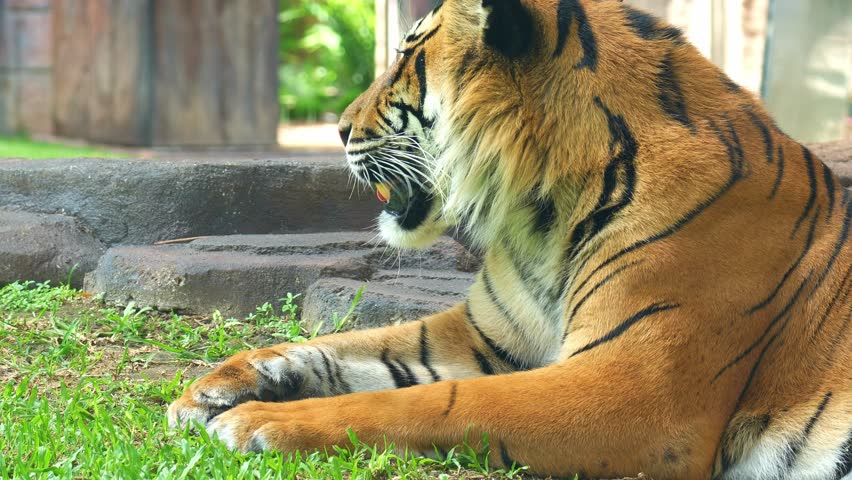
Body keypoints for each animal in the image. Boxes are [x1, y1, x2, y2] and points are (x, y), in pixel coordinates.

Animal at [167, 0, 852, 478]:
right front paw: (214, 387)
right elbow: (345, 346)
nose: (337, 129)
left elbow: (439, 402)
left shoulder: (637, 394)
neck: (543, 214)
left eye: (405, 61)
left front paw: (255, 422)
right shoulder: (481, 335)